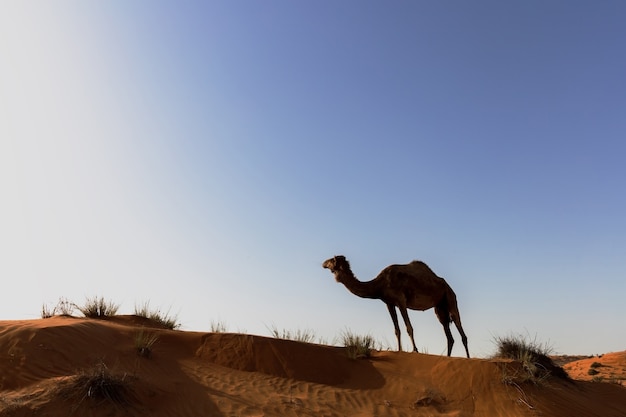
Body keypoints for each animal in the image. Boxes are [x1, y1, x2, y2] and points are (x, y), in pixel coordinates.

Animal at [322, 254, 468, 358]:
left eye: (331, 260)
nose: (323, 263)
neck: (380, 284)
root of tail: (448, 286)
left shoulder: (401, 301)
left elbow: (409, 327)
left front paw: (415, 350)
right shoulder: (389, 303)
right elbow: (396, 330)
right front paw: (399, 350)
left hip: (450, 298)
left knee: (460, 329)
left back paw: (467, 358)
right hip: (439, 308)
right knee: (449, 336)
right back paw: (448, 358)